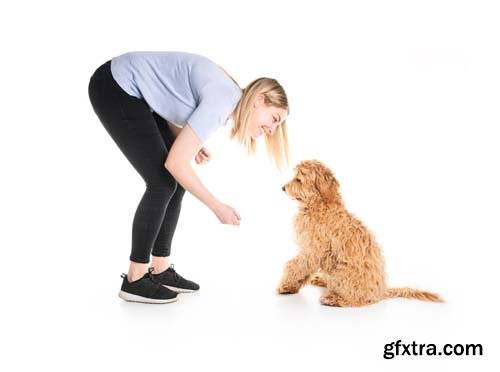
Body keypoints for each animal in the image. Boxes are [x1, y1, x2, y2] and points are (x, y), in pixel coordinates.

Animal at [278, 160, 446, 308]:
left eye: (299, 179)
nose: (283, 188)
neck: (321, 204)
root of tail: (381, 291)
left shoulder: (312, 249)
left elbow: (295, 265)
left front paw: (285, 285)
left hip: (342, 275)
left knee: (357, 299)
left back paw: (333, 299)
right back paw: (321, 280)